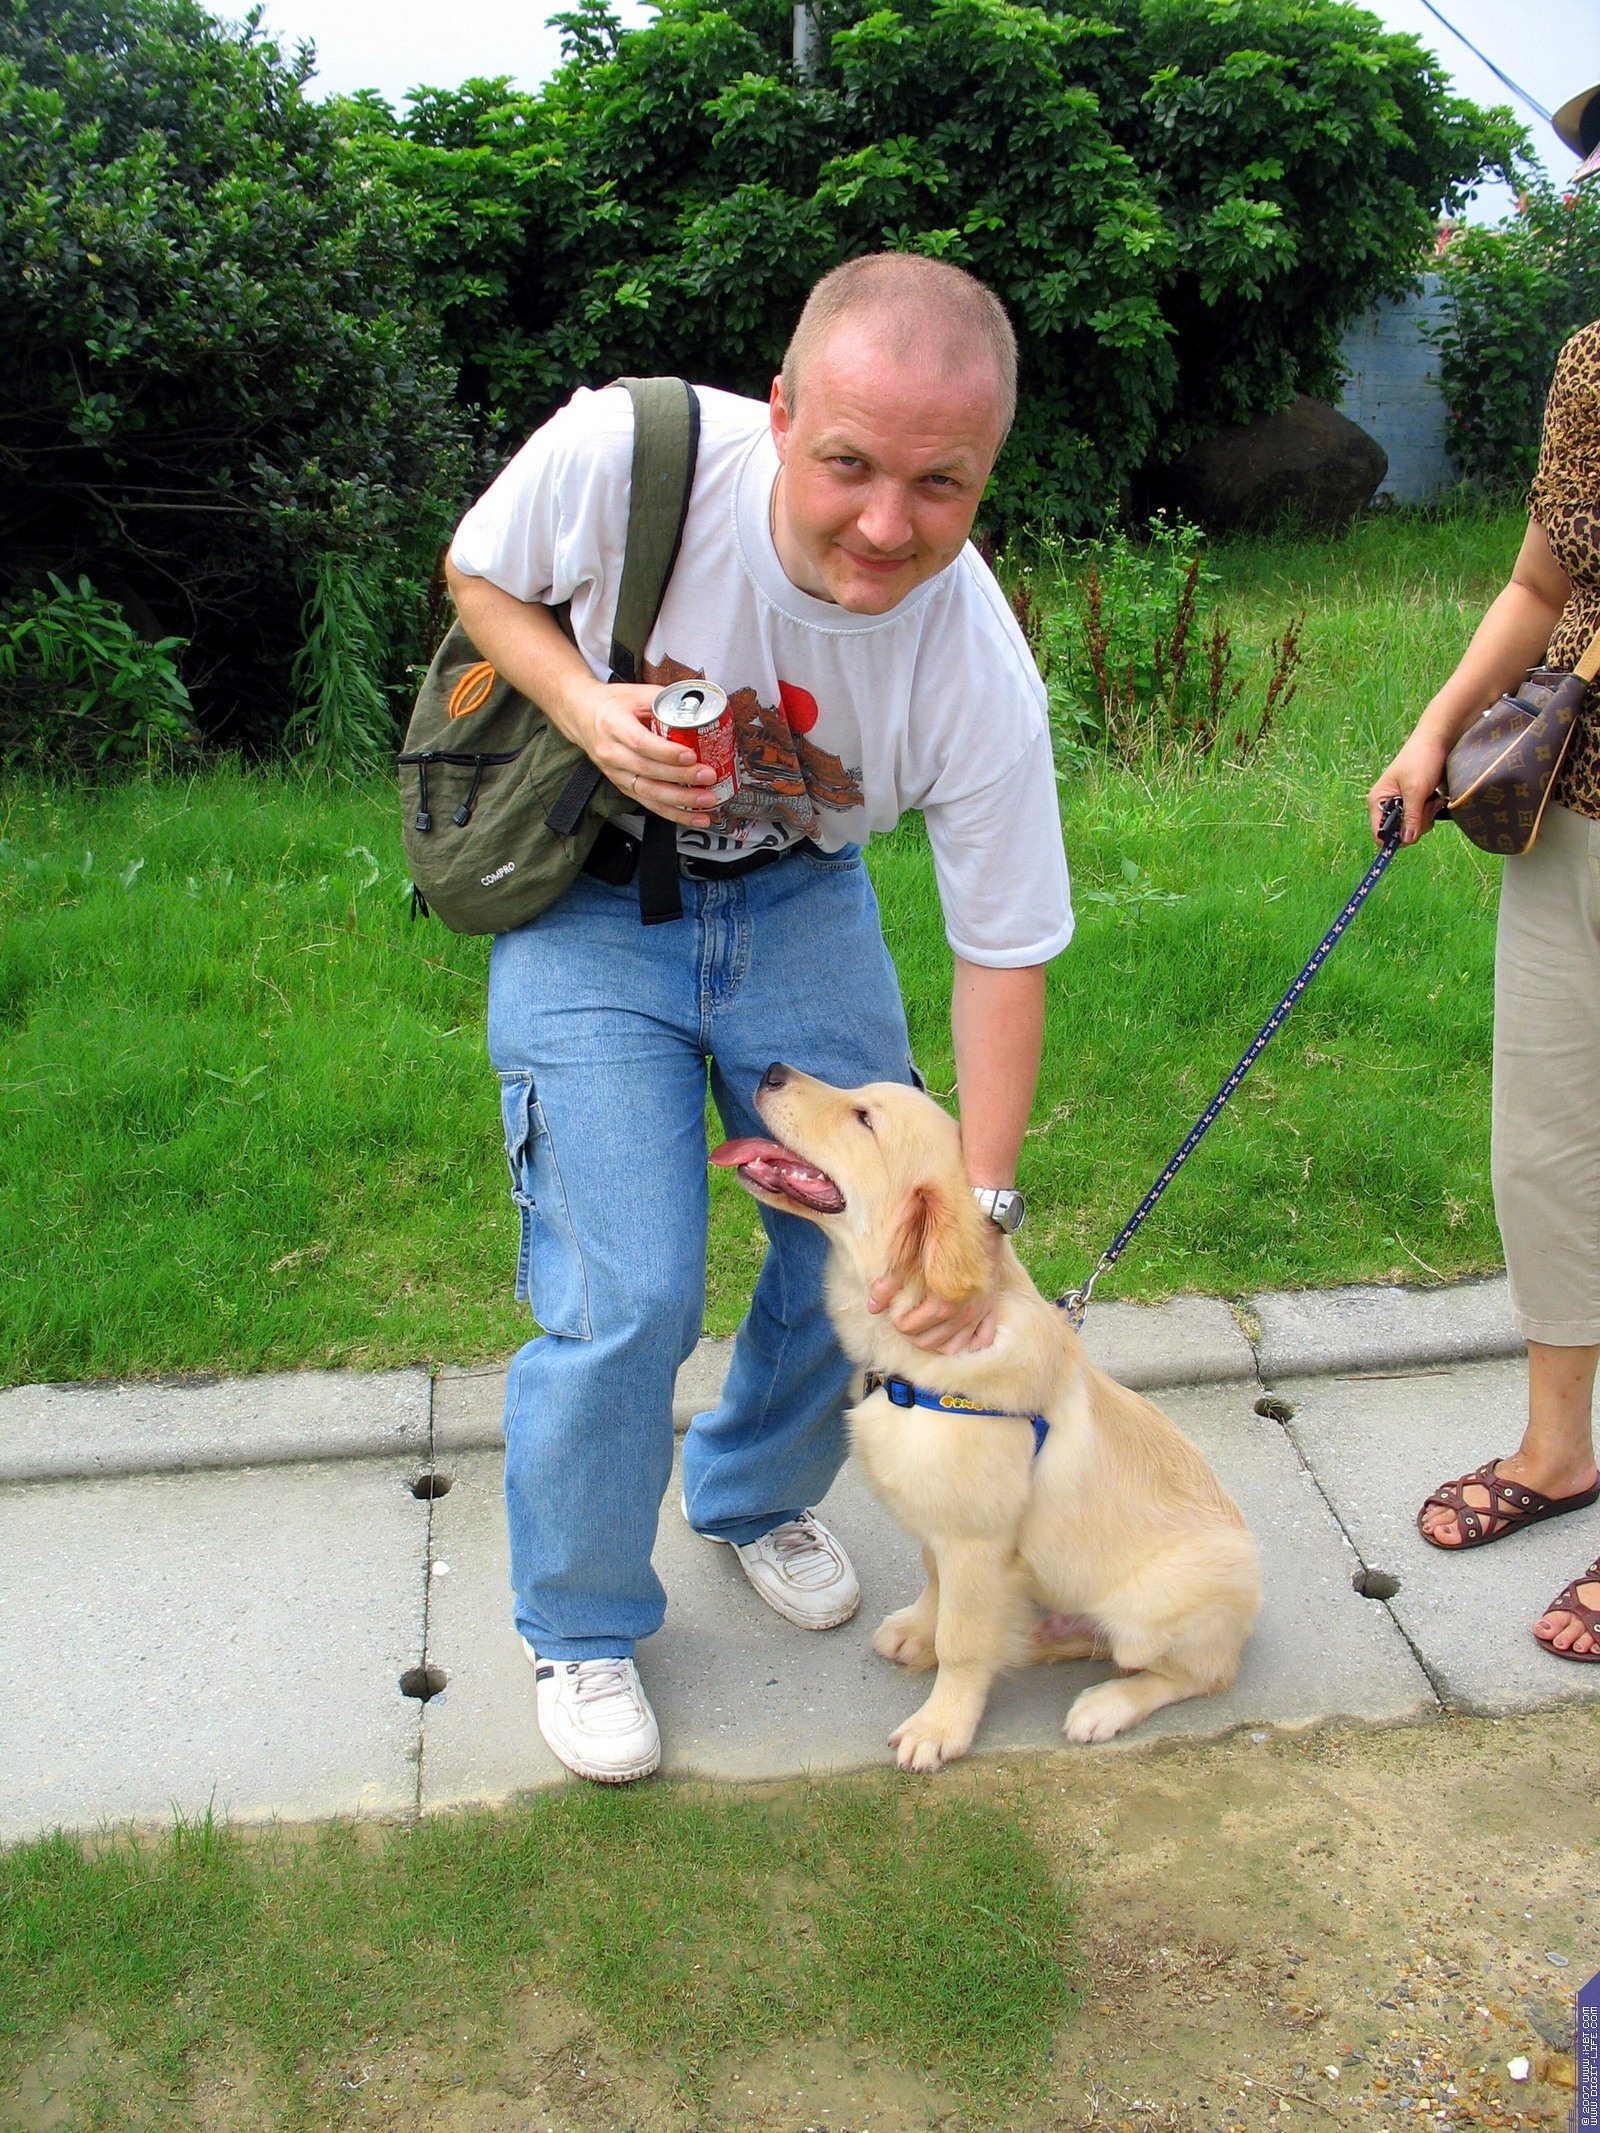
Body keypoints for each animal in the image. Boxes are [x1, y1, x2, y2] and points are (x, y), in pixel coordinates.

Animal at [712, 1064, 1261, 1771]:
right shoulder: (939, 1528)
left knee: (1195, 1672)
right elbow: (936, 1590)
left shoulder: (976, 1541)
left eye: (864, 1119)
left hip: (1162, 1604)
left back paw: (1105, 1704)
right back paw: (1039, 1638)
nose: (773, 1071)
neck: (914, 1364)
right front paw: (918, 1634)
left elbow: (964, 1639)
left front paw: (940, 1726)